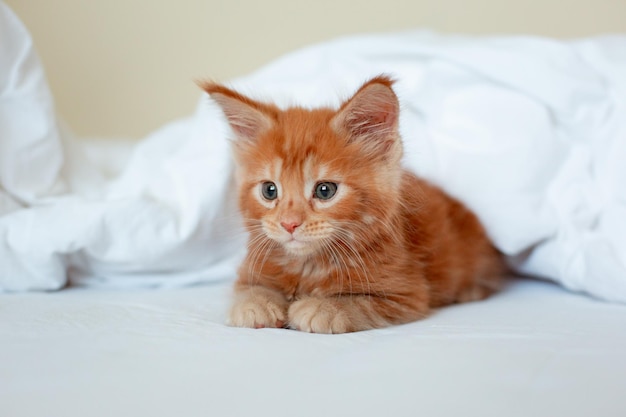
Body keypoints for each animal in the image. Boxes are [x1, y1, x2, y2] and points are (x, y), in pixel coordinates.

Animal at [200, 76, 502, 334]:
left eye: (325, 191)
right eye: (269, 190)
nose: (289, 223)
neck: (309, 265)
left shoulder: (406, 293)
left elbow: (359, 302)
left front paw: (323, 307)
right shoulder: (253, 266)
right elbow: (248, 290)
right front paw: (256, 304)